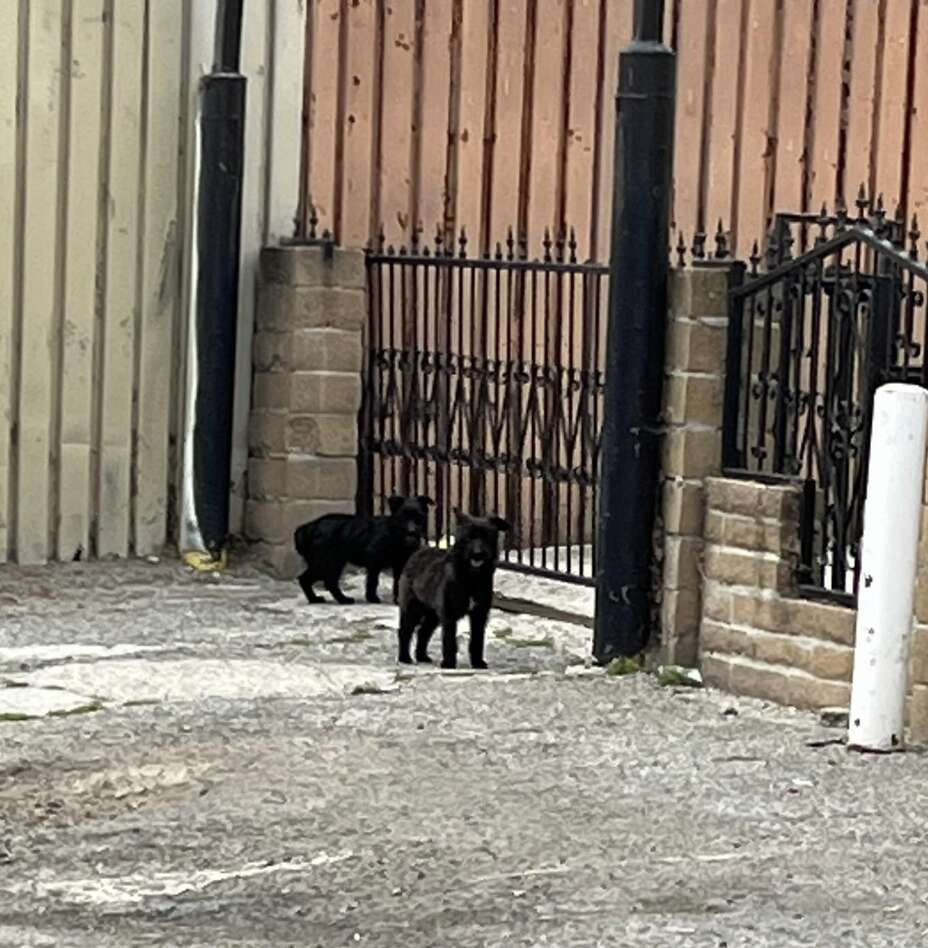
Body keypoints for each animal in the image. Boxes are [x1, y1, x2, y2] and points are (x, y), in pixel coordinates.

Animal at [292, 492, 434, 604]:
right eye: (403, 517)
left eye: (419, 517)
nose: (412, 532)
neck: (394, 533)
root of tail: (309, 526)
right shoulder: (374, 564)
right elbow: (372, 581)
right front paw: (372, 598)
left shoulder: (400, 564)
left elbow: (398, 582)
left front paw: (398, 600)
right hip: (326, 563)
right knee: (311, 579)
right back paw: (329, 599)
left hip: (329, 564)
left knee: (323, 581)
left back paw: (330, 599)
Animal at [394, 512, 508, 668]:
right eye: (469, 537)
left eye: (487, 536)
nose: (478, 554)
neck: (470, 578)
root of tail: (418, 552)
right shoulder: (448, 615)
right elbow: (449, 640)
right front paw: (449, 663)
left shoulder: (479, 614)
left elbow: (477, 640)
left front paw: (477, 662)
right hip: (412, 609)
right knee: (404, 632)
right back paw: (404, 658)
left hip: (433, 615)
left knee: (423, 632)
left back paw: (422, 657)